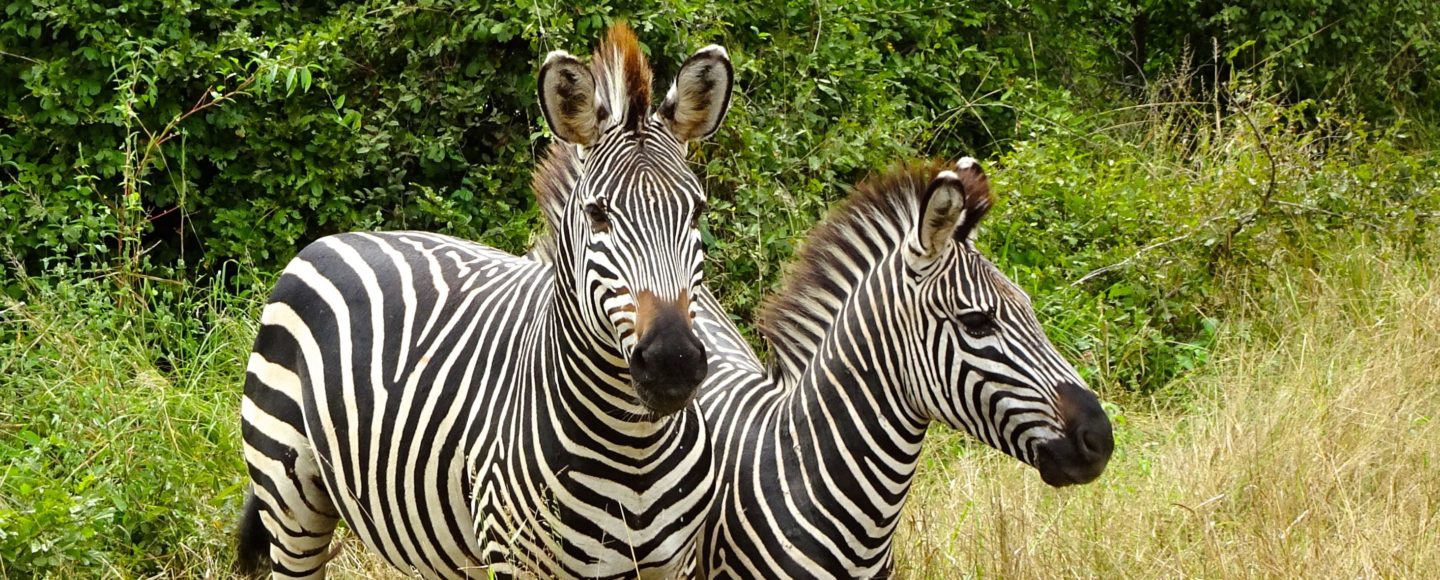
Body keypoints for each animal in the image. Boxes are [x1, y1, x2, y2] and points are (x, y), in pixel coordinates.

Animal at [234, 25, 737, 578]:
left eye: (697, 211)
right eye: (598, 214)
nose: (673, 361)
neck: (635, 448)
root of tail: (329, 240)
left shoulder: (677, 563)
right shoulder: (517, 559)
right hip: (290, 495)